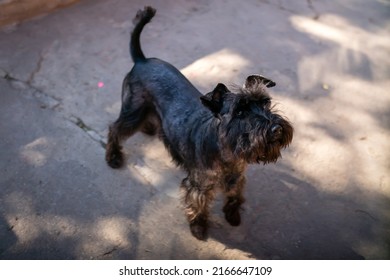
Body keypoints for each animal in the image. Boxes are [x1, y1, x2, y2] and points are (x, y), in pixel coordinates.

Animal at [105, 5, 294, 240]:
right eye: (240, 111)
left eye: (266, 103)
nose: (276, 129)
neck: (227, 152)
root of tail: (142, 60)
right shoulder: (198, 185)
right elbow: (198, 205)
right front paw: (198, 227)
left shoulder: (237, 179)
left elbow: (235, 195)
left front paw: (233, 214)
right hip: (133, 112)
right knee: (115, 129)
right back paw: (113, 157)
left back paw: (149, 128)